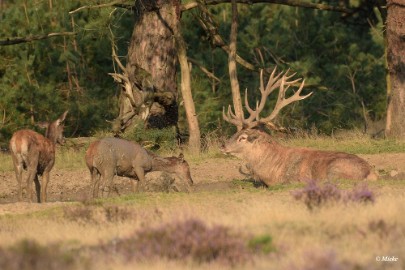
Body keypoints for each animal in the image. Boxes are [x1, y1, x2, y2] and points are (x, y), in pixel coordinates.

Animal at [221, 68, 376, 186]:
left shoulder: (292, 179)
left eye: (243, 137)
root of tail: (371, 172)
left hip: (336, 169)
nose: (222, 146)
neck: (272, 172)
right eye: (235, 133)